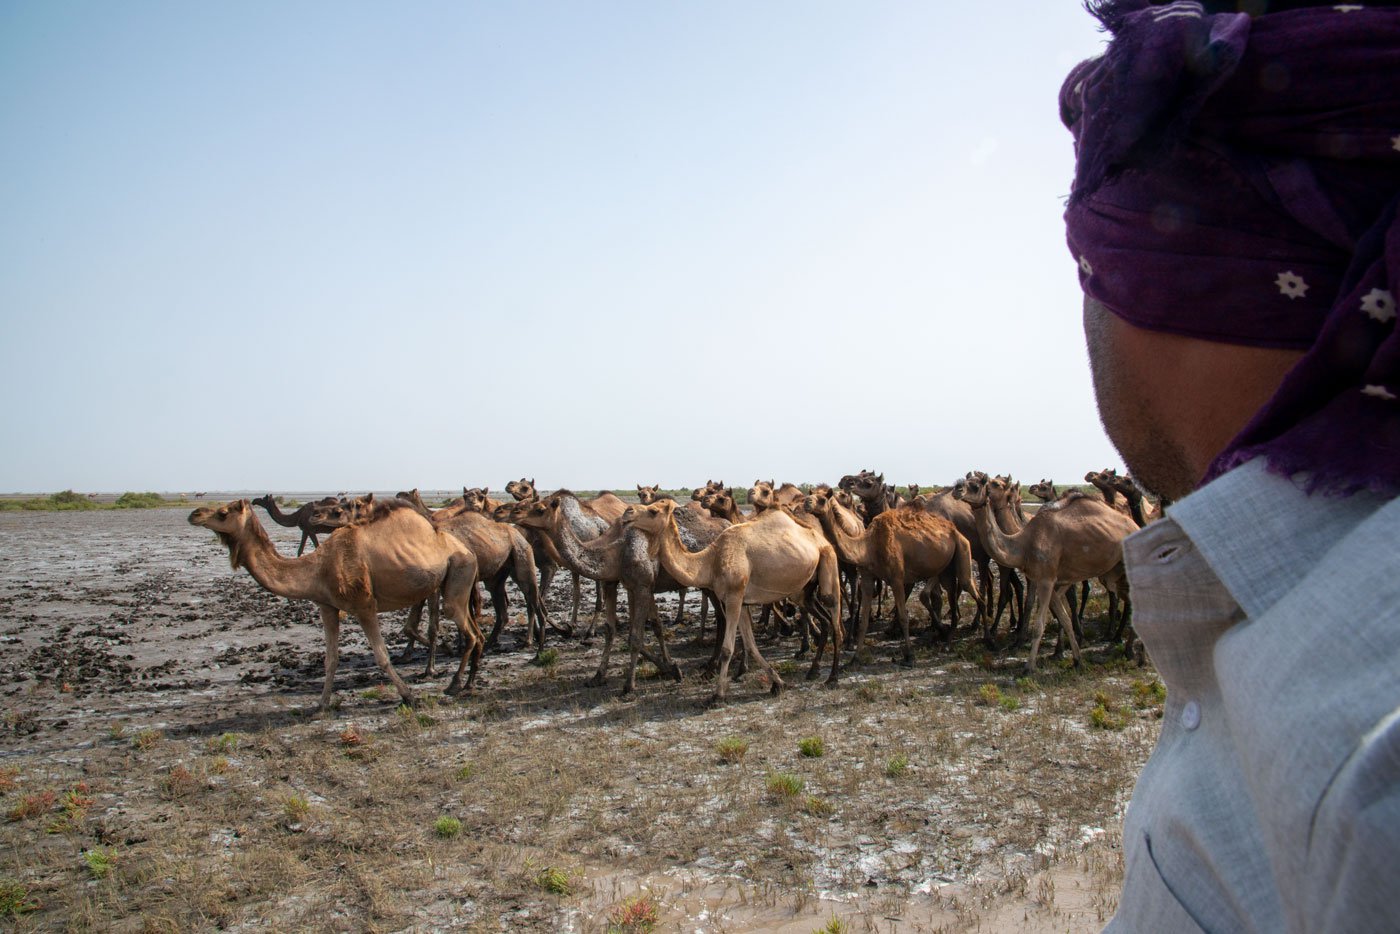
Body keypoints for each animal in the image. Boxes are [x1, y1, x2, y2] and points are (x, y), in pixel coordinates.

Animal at [187, 495, 481, 708]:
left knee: (467, 632)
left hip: (458, 572)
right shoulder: (326, 606)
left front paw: (409, 697)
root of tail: (465, 549)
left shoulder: (364, 605)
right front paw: (321, 705)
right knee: (475, 632)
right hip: (455, 582)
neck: (318, 568)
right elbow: (331, 659)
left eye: (223, 512)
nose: (195, 514)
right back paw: (467, 682)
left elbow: (382, 657)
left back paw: (454, 684)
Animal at [624, 501, 840, 705]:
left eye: (653, 511)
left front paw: (717, 696)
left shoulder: (734, 597)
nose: (627, 512)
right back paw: (813, 670)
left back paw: (832, 678)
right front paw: (778, 683)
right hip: (804, 590)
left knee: (835, 621)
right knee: (824, 618)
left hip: (829, 563)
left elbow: (728, 648)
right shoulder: (740, 602)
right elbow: (751, 644)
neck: (710, 562)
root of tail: (821, 540)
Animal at [800, 490, 985, 663]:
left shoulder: (896, 578)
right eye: (811, 495)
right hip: (946, 569)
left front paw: (909, 656)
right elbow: (864, 621)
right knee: (954, 596)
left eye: (822, 499)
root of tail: (954, 529)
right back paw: (947, 641)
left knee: (972, 589)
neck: (868, 547)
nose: (807, 502)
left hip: (963, 548)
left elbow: (904, 617)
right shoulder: (866, 578)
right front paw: (855, 659)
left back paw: (985, 639)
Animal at [952, 476, 1136, 672]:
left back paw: (1131, 651)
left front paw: (1029, 667)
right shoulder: (1047, 579)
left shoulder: (1047, 580)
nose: (957, 489)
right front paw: (1077, 660)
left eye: (977, 484)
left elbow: (1039, 626)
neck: (1024, 544)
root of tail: (1133, 524)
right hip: (1114, 571)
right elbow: (1064, 618)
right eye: (967, 477)